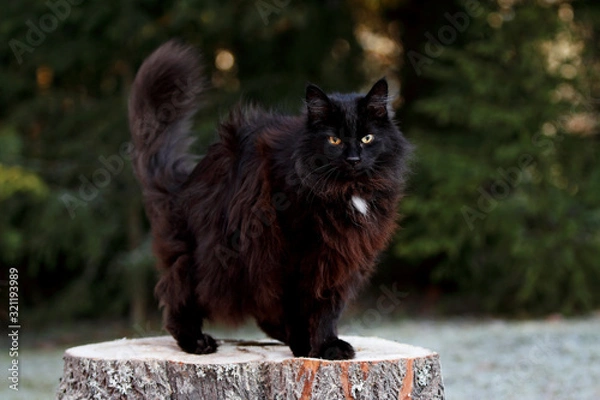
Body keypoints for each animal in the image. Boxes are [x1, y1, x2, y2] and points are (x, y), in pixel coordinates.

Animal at [129, 40, 412, 360]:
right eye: (334, 140)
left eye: (367, 138)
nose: (353, 159)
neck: (345, 190)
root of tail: (184, 183)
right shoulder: (289, 251)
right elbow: (297, 306)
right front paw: (306, 346)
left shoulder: (340, 257)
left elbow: (327, 308)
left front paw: (327, 345)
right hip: (213, 258)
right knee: (178, 294)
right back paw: (196, 342)